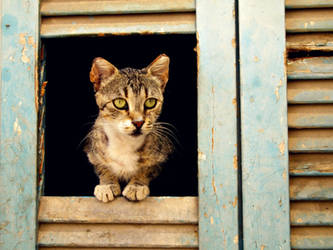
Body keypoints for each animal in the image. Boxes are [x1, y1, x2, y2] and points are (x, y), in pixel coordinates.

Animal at [84, 53, 172, 202]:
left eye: (150, 102)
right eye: (119, 102)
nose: (138, 122)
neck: (125, 142)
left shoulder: (163, 154)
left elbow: (148, 168)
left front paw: (136, 186)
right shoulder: (92, 150)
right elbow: (101, 165)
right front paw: (107, 184)